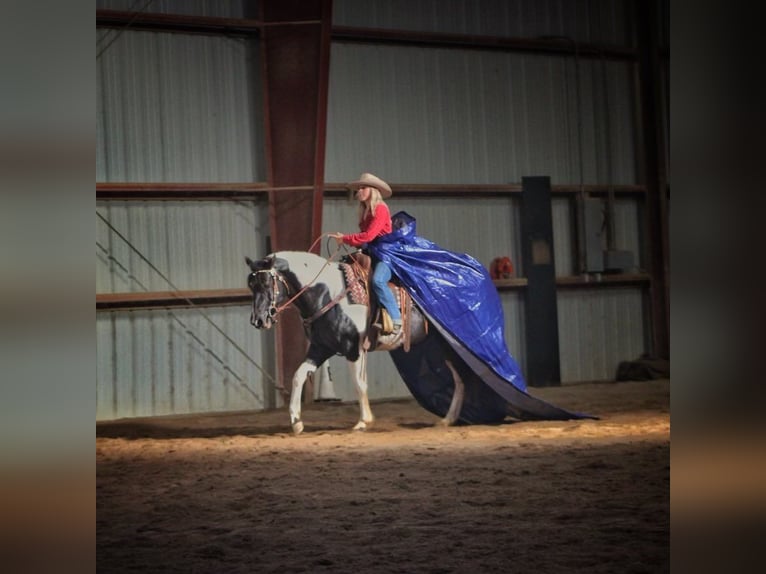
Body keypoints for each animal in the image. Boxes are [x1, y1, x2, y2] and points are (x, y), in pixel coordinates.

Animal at [244, 252, 468, 436]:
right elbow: (298, 376)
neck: (328, 294)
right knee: (459, 378)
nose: (258, 320)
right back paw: (447, 419)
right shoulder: (320, 349)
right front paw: (296, 422)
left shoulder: (354, 349)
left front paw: (364, 421)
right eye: (251, 285)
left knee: (462, 377)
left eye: (266, 283)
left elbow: (360, 384)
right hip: (441, 347)